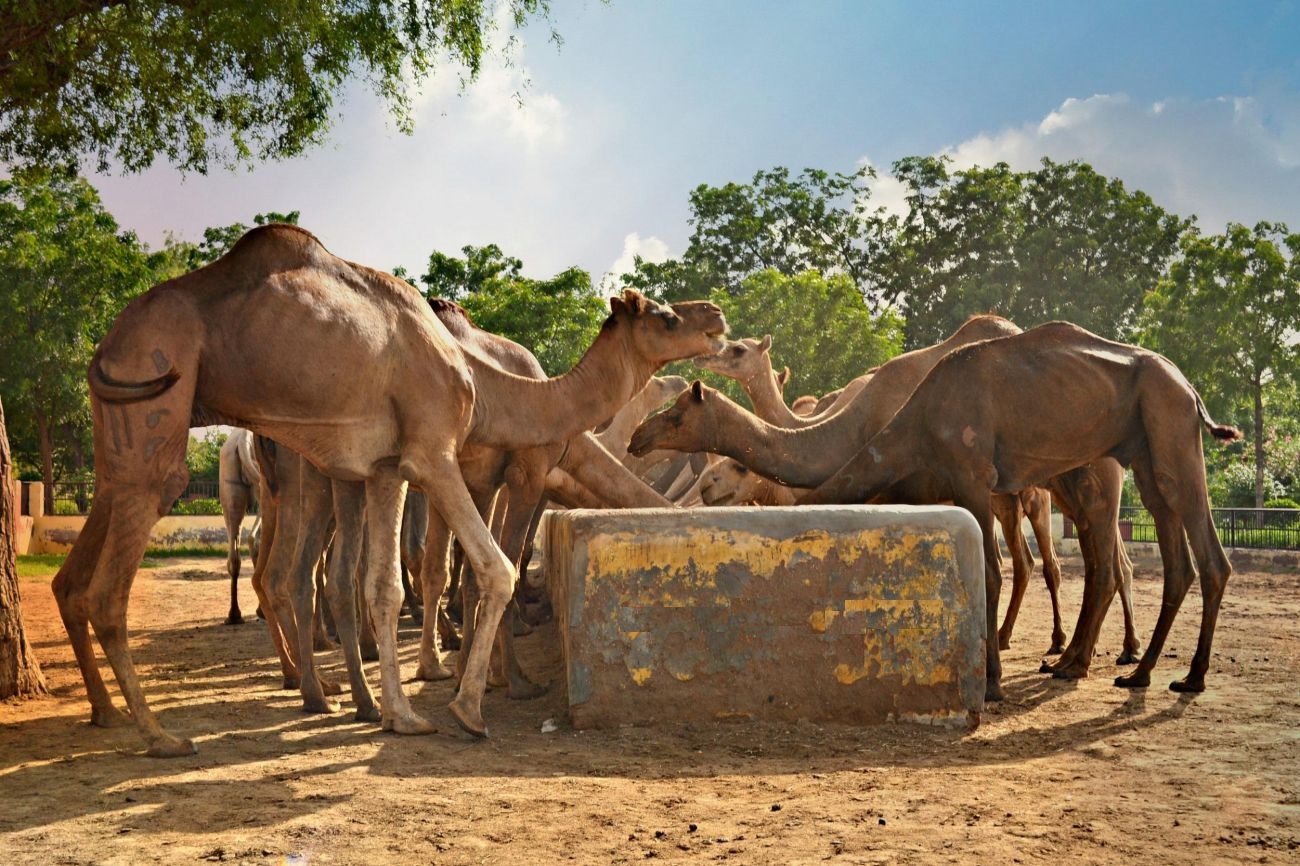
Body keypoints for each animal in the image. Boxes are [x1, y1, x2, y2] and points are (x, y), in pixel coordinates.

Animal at [50, 223, 728, 754]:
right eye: (667, 316)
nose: (717, 316)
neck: (492, 384)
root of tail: (106, 343)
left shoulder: (384, 468)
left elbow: (384, 586)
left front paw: (402, 716)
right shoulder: (441, 456)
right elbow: (496, 568)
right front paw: (470, 707)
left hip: (123, 431)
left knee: (101, 551)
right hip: (158, 385)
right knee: (124, 575)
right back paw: (161, 735)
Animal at [790, 322, 1237, 696]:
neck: (919, 418)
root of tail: (1189, 387)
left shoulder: (972, 474)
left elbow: (988, 571)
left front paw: (991, 683)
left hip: (1170, 419)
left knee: (1199, 542)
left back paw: (1189, 676)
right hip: (1144, 448)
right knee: (1171, 551)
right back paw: (1137, 672)